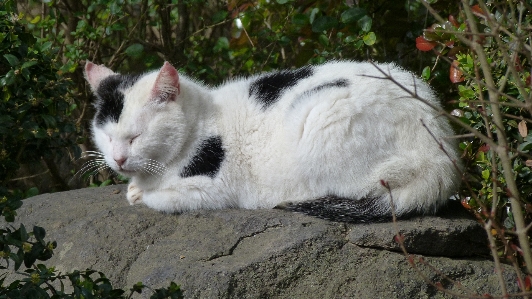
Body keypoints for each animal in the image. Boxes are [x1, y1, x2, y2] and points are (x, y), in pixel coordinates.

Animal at [83, 61, 462, 224]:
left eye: (135, 137)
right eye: (107, 136)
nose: (118, 159)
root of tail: (443, 158)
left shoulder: (209, 189)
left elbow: (157, 198)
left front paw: (139, 194)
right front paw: (133, 187)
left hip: (324, 124)